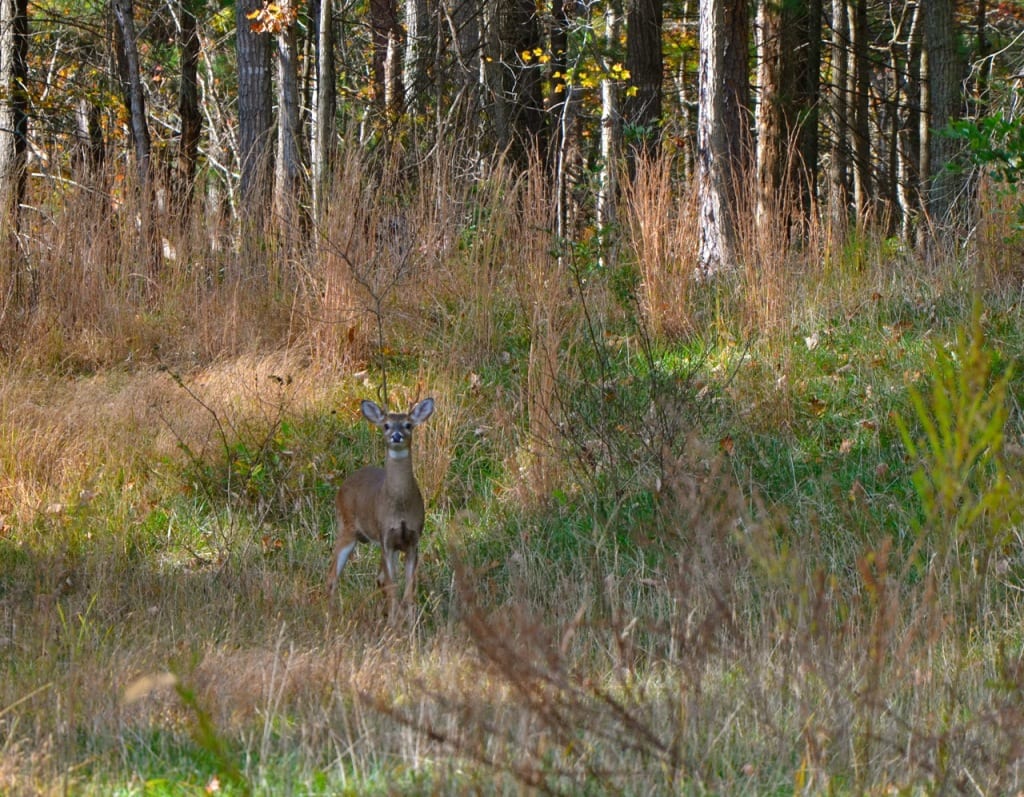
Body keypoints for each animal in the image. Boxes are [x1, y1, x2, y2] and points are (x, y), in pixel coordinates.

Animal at [325, 393, 434, 618]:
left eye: (408, 424)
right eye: (386, 425)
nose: (396, 436)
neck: (400, 508)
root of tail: (343, 485)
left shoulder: (412, 539)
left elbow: (408, 590)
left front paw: (410, 622)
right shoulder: (385, 538)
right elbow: (393, 587)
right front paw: (394, 621)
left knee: (378, 579)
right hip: (346, 527)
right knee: (332, 578)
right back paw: (332, 617)